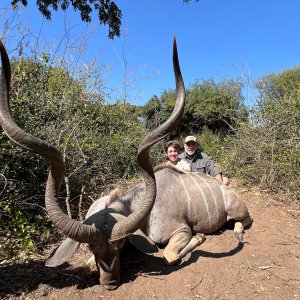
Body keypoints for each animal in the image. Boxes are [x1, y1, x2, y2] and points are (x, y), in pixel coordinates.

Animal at [1, 39, 252, 290]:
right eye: (91, 247)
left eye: (120, 245)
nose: (110, 283)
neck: (142, 208)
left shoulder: (180, 230)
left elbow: (168, 256)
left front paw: (199, 236)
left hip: (236, 211)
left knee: (244, 221)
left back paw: (238, 232)